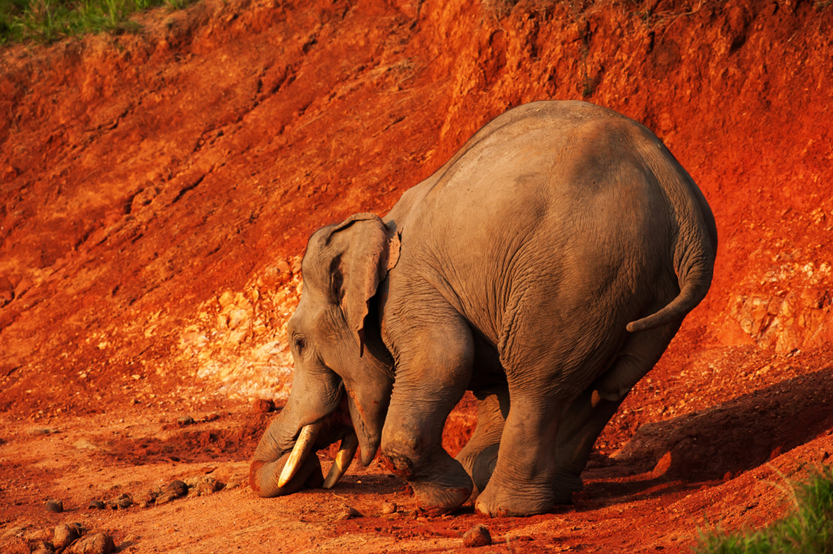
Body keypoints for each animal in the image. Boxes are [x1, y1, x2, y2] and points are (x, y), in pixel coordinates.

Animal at [247, 98, 716, 512]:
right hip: (641, 290)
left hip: (576, 268)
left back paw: (502, 508)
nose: (312, 474)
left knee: (537, 377)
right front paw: (471, 475)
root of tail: (679, 196)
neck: (376, 226)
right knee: (608, 384)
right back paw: (552, 492)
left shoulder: (410, 291)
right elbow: (488, 378)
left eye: (298, 343)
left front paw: (446, 498)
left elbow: (447, 358)